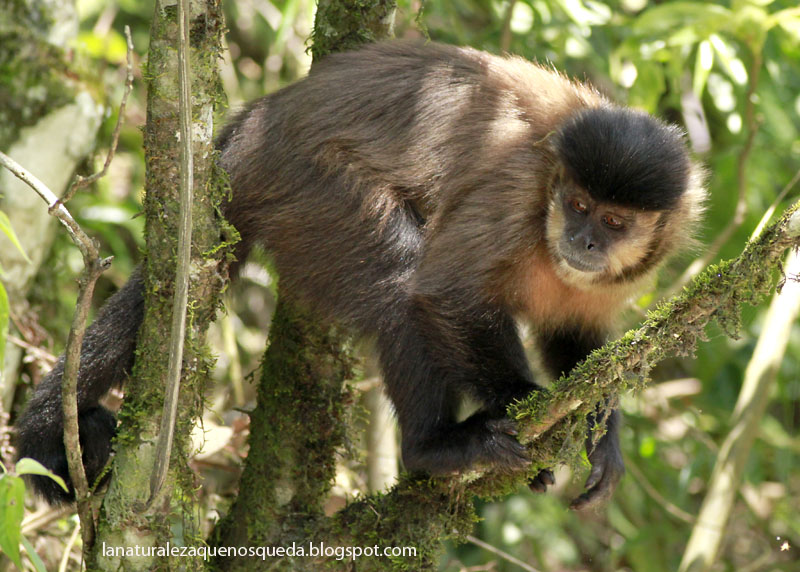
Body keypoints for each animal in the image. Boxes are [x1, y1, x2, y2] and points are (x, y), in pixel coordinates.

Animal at [15, 40, 704, 508]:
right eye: (579, 206)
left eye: (613, 221)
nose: (583, 239)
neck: (549, 220)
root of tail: (259, 122)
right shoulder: (517, 190)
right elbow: (442, 293)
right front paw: (519, 401)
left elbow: (579, 340)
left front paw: (601, 437)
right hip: (305, 184)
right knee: (399, 284)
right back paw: (434, 448)